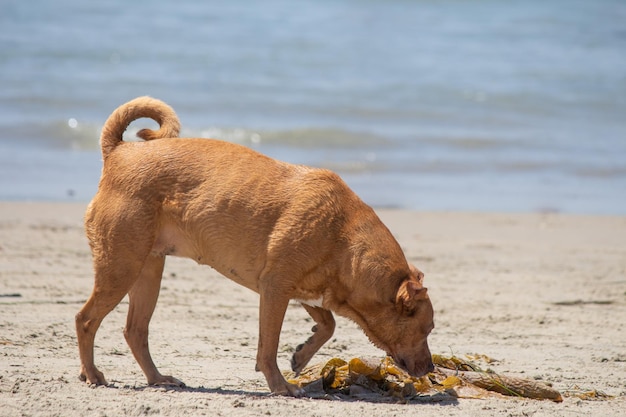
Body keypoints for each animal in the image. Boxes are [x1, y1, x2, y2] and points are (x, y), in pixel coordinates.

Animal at [74, 96, 434, 394]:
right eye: (428, 328)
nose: (431, 367)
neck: (344, 239)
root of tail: (119, 151)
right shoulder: (275, 289)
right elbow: (269, 347)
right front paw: (281, 385)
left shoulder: (302, 290)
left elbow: (328, 325)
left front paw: (301, 356)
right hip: (121, 268)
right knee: (86, 320)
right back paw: (92, 374)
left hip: (147, 272)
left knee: (135, 331)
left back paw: (157, 379)